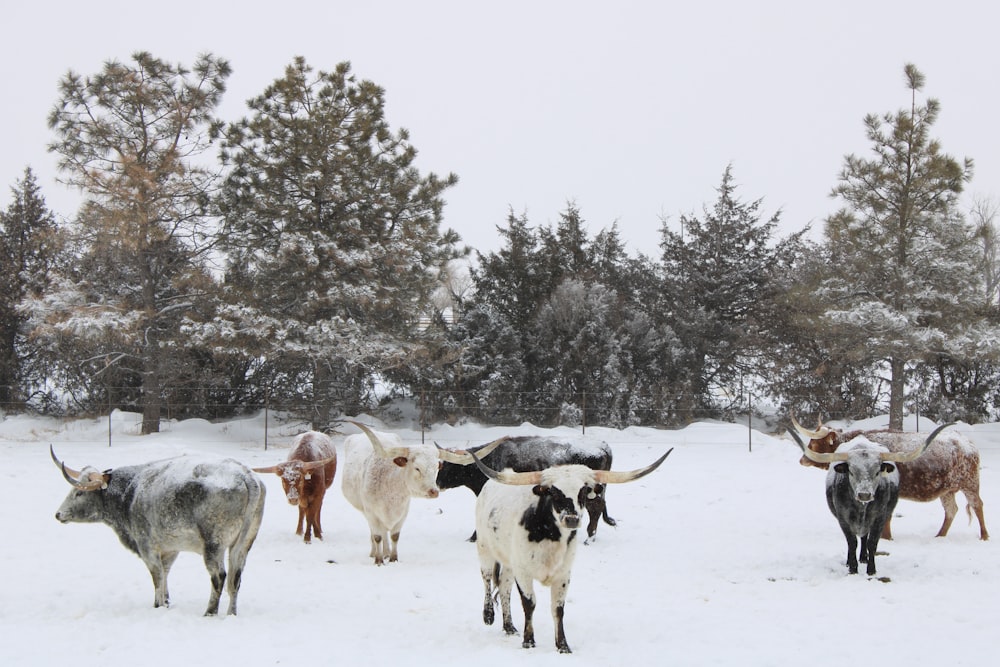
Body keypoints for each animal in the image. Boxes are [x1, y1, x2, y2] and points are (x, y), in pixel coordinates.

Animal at [468, 446, 672, 656]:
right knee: (486, 579)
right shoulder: (524, 572)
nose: (572, 519)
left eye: (583, 492)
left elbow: (558, 609)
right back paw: (489, 615)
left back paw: (509, 626)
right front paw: (529, 641)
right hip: (485, 549)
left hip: (508, 562)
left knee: (504, 587)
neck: (547, 534)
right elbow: (529, 604)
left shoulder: (563, 574)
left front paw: (563, 646)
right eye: (553, 492)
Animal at [792, 418, 988, 544]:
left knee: (977, 505)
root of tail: (967, 442)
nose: (802, 459)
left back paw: (984, 536)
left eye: (814, 443)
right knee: (951, 510)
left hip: (970, 483)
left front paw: (885, 538)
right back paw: (940, 536)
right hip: (946, 490)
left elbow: (886, 516)